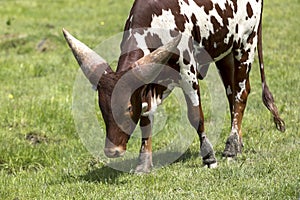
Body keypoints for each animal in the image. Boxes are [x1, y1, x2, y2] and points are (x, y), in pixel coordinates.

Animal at [62, 0, 284, 172]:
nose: (112, 151)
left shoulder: (188, 72)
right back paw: (237, 144)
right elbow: (146, 117)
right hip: (224, 50)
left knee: (240, 93)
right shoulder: (149, 81)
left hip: (246, 43)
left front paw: (209, 157)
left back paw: (231, 146)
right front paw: (143, 164)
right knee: (233, 93)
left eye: (127, 108)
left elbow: (196, 115)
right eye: (102, 108)